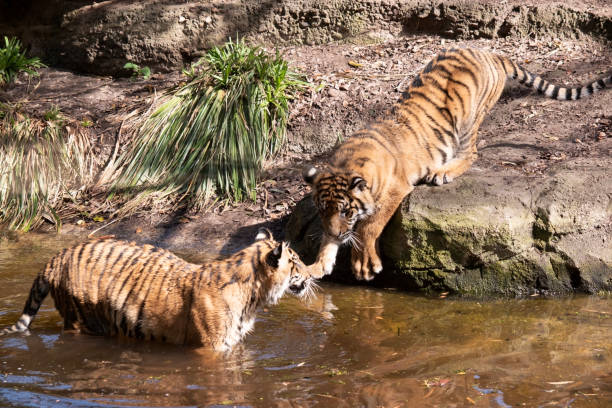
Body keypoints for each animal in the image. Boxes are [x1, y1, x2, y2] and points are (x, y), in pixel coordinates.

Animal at [2, 228, 314, 352]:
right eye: (297, 261)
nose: (313, 275)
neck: (254, 298)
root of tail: (58, 256)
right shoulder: (211, 348)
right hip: (81, 320)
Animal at [306, 47, 612, 282]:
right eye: (322, 210)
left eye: (346, 211)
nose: (335, 231)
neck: (348, 161)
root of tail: (489, 53)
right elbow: (328, 242)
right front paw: (316, 266)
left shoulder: (396, 188)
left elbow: (370, 224)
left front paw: (364, 264)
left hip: (468, 119)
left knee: (471, 153)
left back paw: (441, 172)